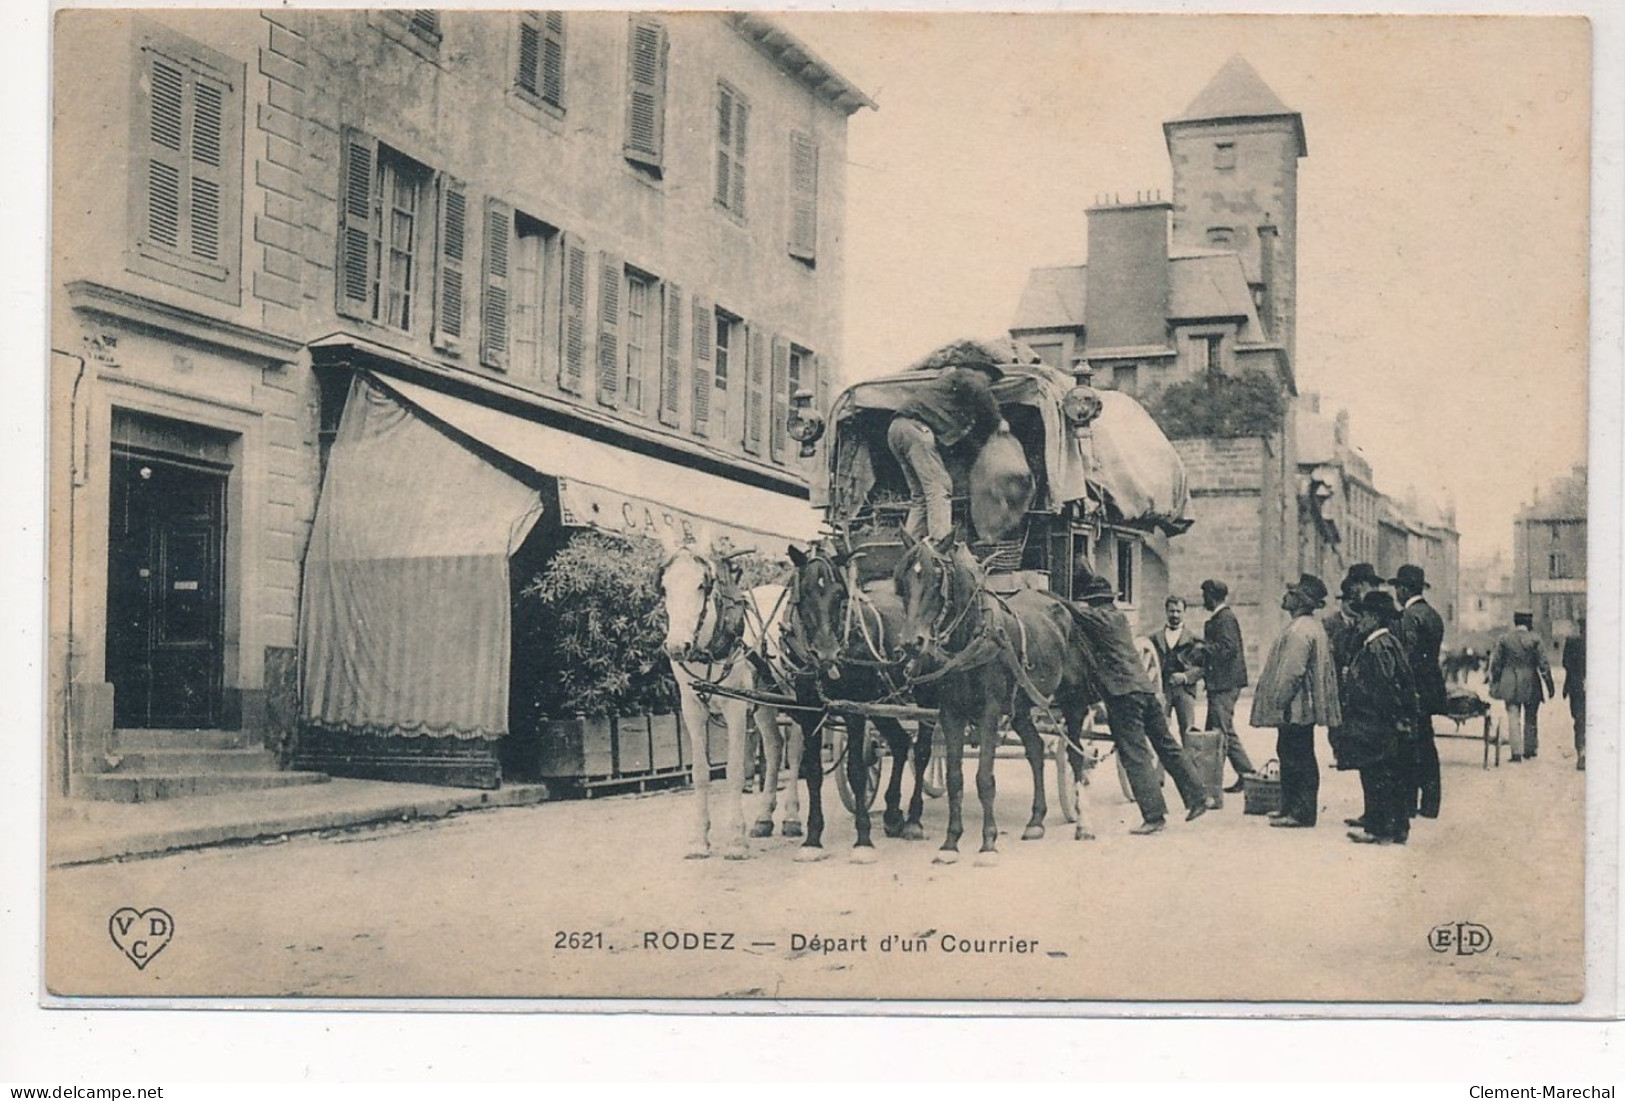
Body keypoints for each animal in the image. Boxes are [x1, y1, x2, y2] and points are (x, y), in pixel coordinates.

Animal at [659, 542, 806, 863]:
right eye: (664, 588)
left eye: (702, 585)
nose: (676, 646)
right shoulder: (691, 708)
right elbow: (700, 773)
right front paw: (699, 840)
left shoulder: (736, 707)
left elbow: (736, 770)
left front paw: (736, 839)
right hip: (764, 700)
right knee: (774, 746)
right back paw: (764, 818)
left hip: (795, 694)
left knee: (796, 749)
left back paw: (792, 817)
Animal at [783, 542, 929, 863]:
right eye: (805, 592)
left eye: (839, 594)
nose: (827, 653)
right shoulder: (810, 712)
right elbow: (813, 772)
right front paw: (812, 838)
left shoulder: (854, 709)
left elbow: (857, 770)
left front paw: (863, 839)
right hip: (882, 705)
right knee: (900, 743)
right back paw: (892, 814)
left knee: (923, 751)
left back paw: (913, 819)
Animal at [897, 529, 1098, 863]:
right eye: (901, 582)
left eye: (937, 579)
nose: (912, 642)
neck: (970, 639)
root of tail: (1058, 604)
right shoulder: (950, 713)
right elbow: (954, 777)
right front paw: (951, 842)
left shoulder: (989, 713)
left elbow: (984, 777)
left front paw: (988, 841)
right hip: (1021, 707)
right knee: (1035, 749)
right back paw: (1036, 820)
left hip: (1074, 703)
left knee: (1076, 755)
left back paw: (1083, 823)